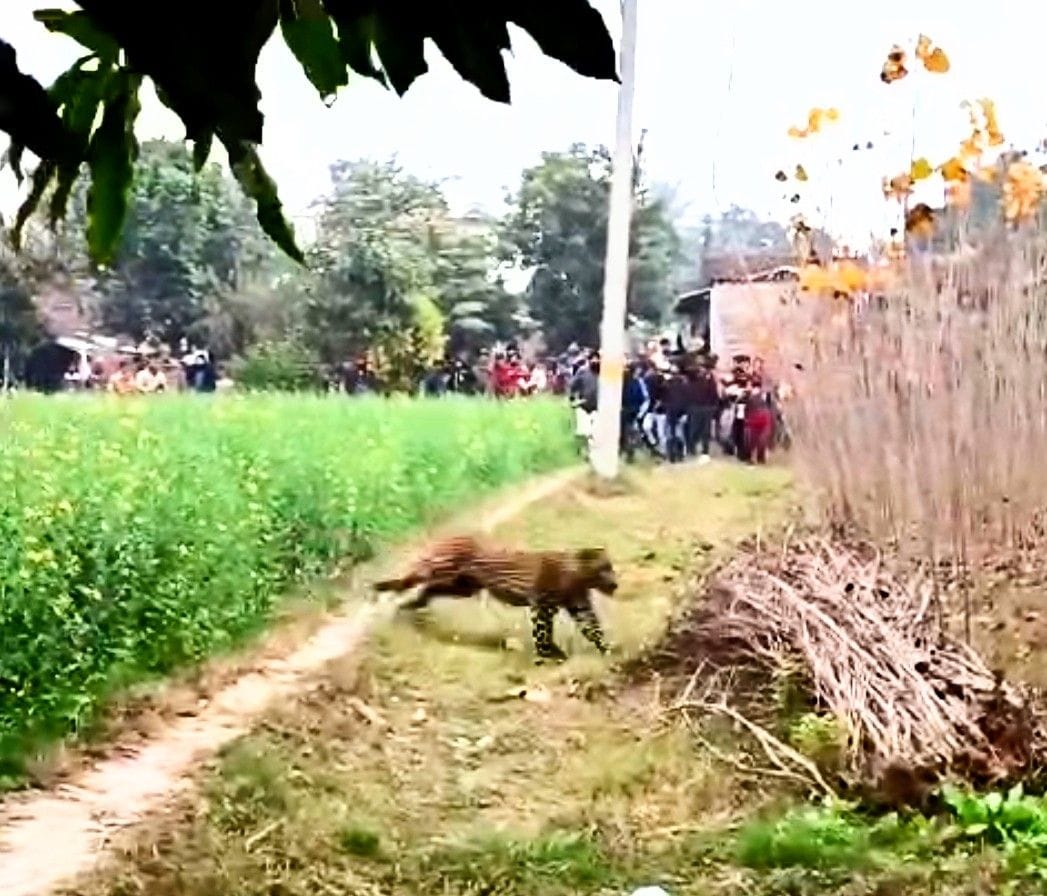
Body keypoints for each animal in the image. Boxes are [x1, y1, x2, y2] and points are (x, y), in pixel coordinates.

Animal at [373, 534, 619, 662]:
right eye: (604, 569)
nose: (615, 583)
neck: (579, 577)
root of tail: (450, 536)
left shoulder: (580, 607)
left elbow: (594, 630)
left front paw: (608, 652)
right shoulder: (541, 606)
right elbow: (543, 634)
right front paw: (549, 655)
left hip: (460, 586)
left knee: (427, 590)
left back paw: (411, 603)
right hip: (443, 570)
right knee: (416, 573)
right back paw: (383, 588)